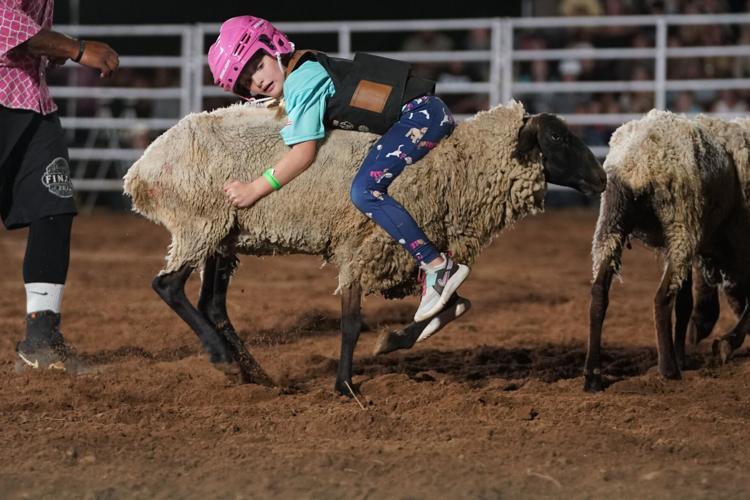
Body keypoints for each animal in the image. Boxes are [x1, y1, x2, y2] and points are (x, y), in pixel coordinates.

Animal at [123, 98, 604, 394]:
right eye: (557, 138)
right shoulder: (365, 244)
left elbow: (455, 304)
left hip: (224, 235)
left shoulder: (407, 249)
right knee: (168, 285)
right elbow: (352, 323)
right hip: (199, 222)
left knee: (213, 305)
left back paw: (256, 376)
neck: (453, 166)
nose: (601, 178)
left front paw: (392, 341)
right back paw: (222, 358)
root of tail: (140, 170)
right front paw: (345, 385)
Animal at [588, 108, 750, 390]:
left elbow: (685, 303)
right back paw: (668, 369)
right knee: (662, 298)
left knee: (599, 291)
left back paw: (593, 376)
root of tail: (638, 162)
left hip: (615, 221)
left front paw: (685, 351)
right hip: (680, 224)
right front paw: (723, 343)